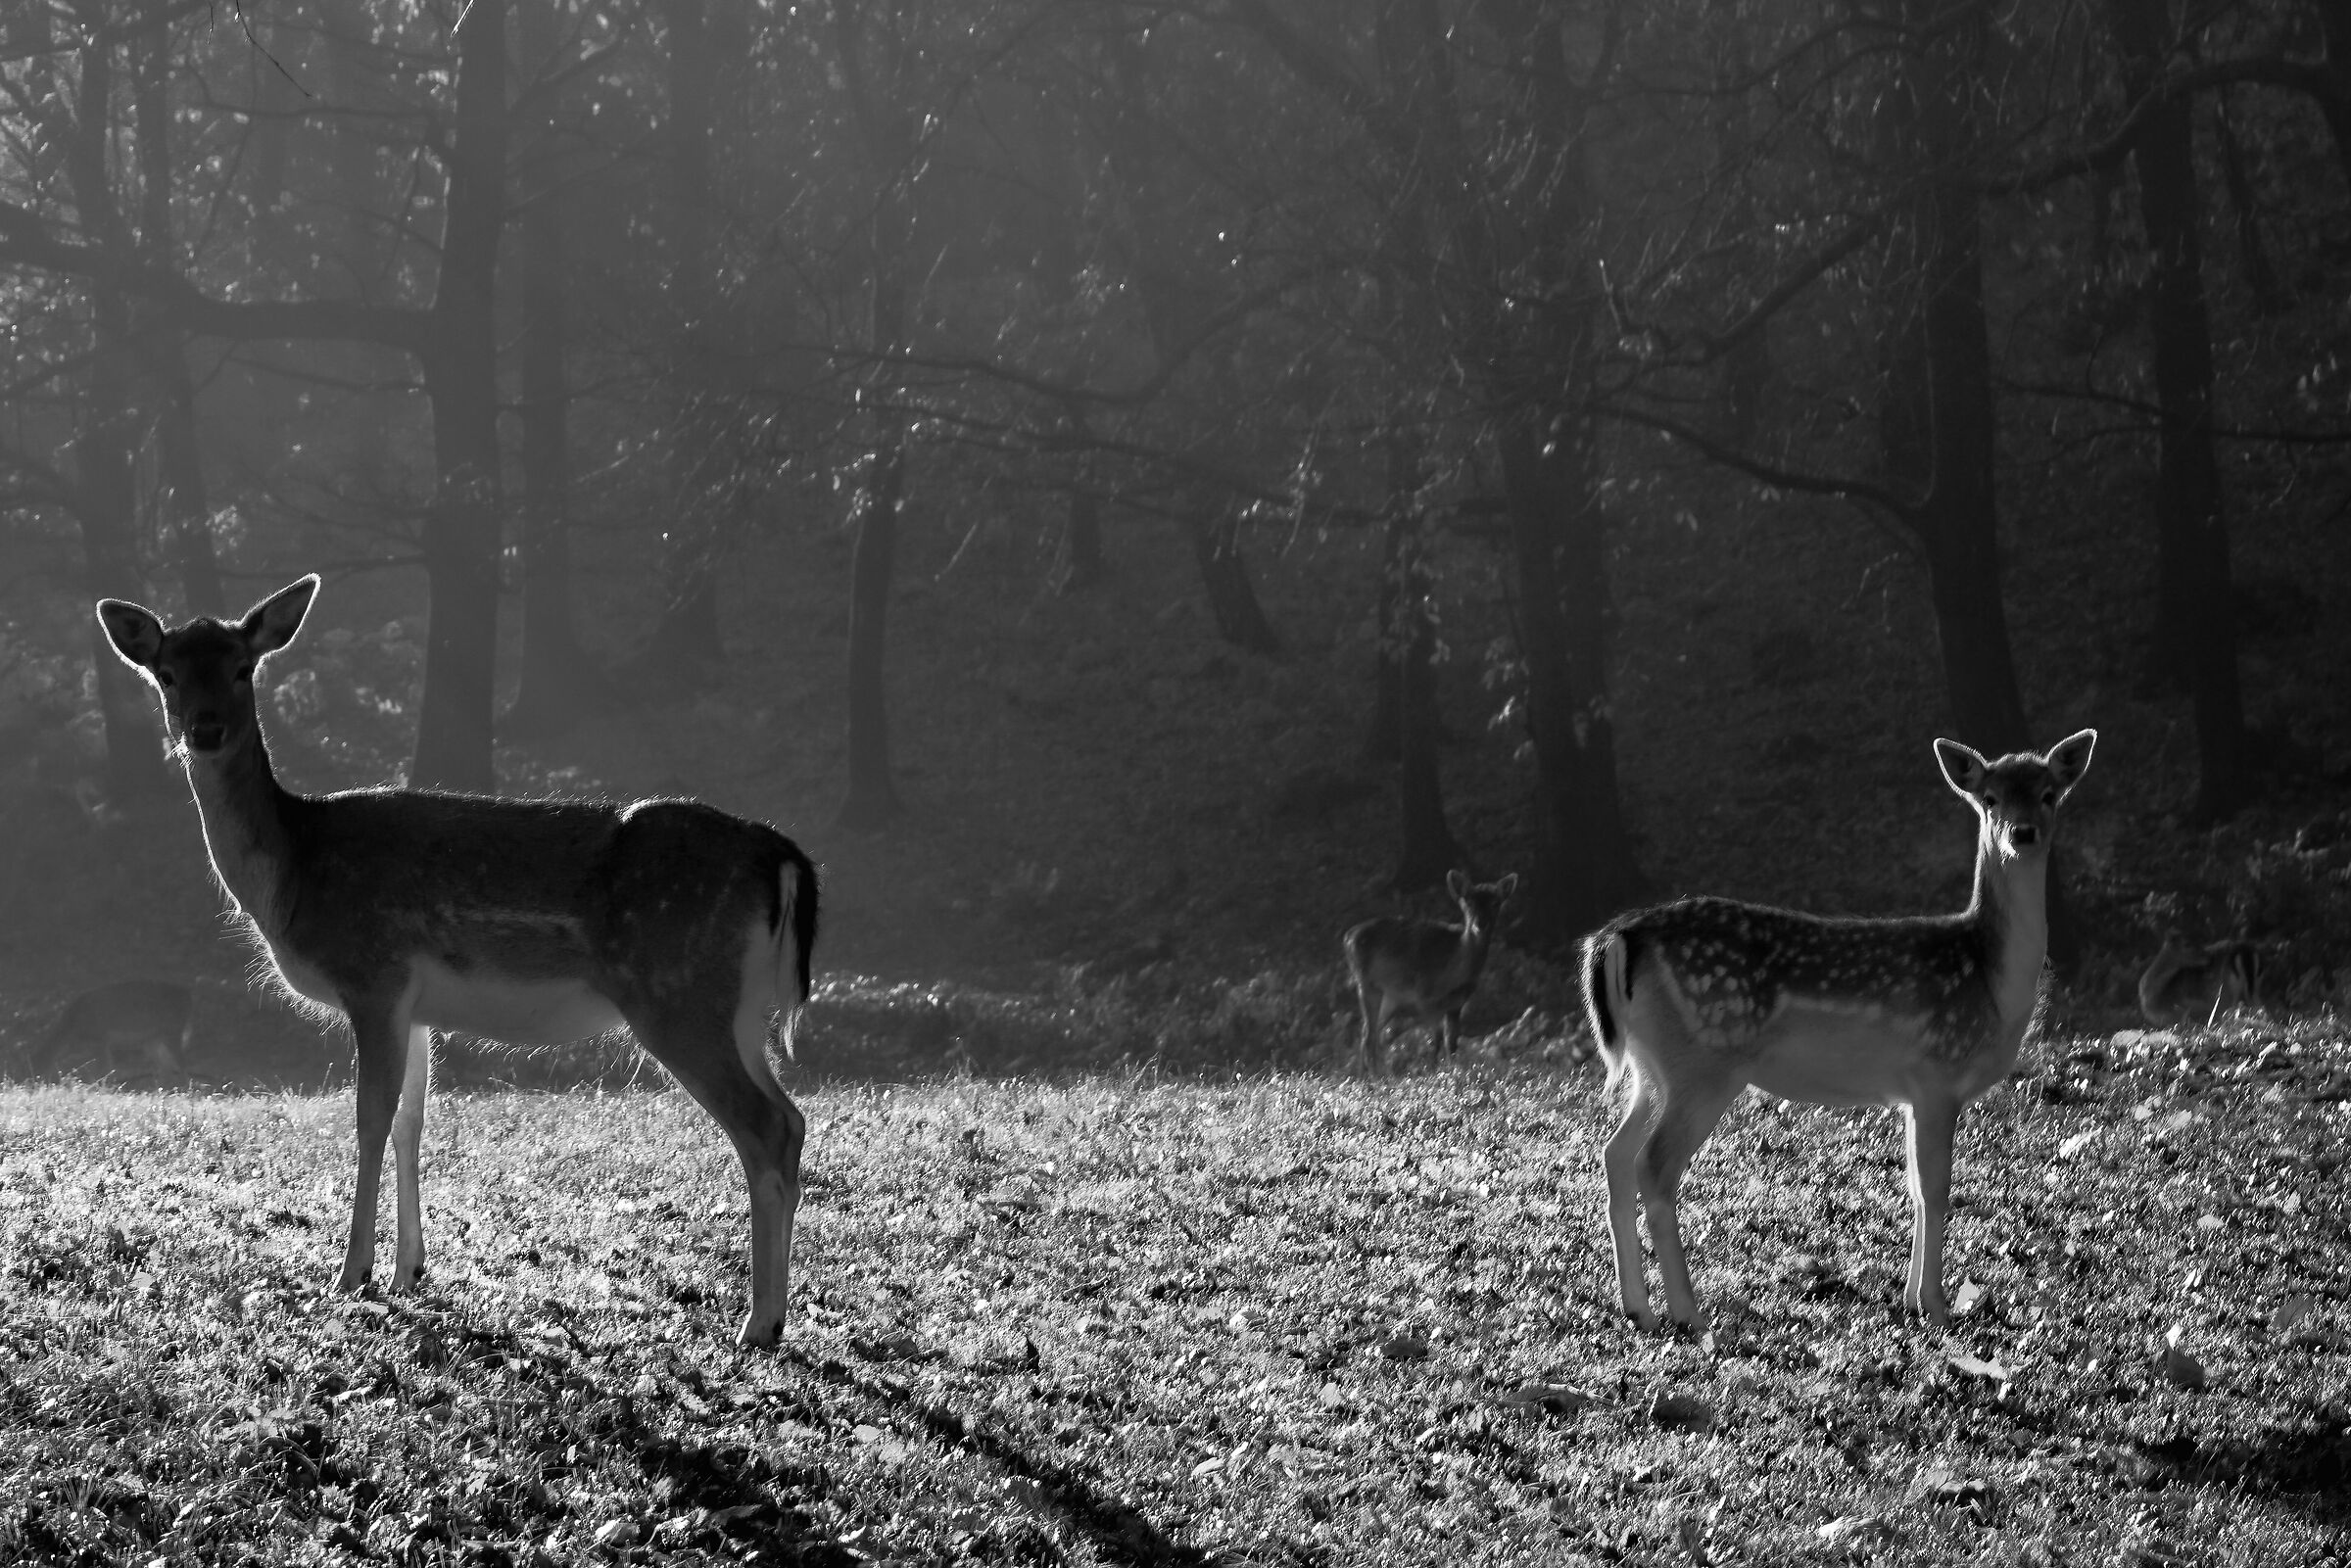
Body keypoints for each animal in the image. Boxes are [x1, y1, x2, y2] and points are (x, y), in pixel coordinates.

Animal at [26, 980, 194, 1086]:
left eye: (33, 1067)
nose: (29, 1084)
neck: (71, 1025)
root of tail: (188, 995)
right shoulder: (101, 1042)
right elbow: (107, 1068)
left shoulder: (99, 1039)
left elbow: (104, 1068)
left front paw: (99, 1088)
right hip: (152, 1039)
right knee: (166, 1066)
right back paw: (162, 1090)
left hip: (172, 1030)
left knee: (181, 1062)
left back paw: (186, 1091)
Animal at [95, 575, 819, 1348]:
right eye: (168, 673)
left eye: (241, 667)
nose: (204, 730)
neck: (293, 870)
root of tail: (779, 853)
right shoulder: (415, 1006)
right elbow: (412, 1122)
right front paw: (409, 1270)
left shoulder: (373, 975)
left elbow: (370, 1117)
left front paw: (350, 1274)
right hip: (735, 1009)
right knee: (792, 1119)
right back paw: (773, 1313)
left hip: (676, 995)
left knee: (764, 1127)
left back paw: (758, 1321)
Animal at [1343, 870, 1517, 1075]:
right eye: (1468, 902)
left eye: (1495, 903)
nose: (1480, 924)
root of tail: (1348, 937)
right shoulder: (1425, 997)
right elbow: (1436, 1039)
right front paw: (1435, 1072)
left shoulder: (1457, 1004)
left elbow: (1451, 1043)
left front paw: (1454, 1070)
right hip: (1366, 983)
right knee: (1369, 1034)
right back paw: (1375, 1077)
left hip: (1391, 997)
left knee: (1366, 1032)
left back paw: (1364, 1076)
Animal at [1581, 730, 2096, 1332]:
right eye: (1990, 798)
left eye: (2048, 793)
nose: (2022, 832)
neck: (1989, 978)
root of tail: (1618, 937)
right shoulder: (1937, 1074)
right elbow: (1937, 1189)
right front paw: (1938, 1307)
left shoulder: (1913, 1093)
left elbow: (1915, 1189)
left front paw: (1911, 1301)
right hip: (1704, 1063)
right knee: (1653, 1165)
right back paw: (1691, 1314)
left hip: (1651, 1065)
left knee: (1615, 1153)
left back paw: (1638, 1307)